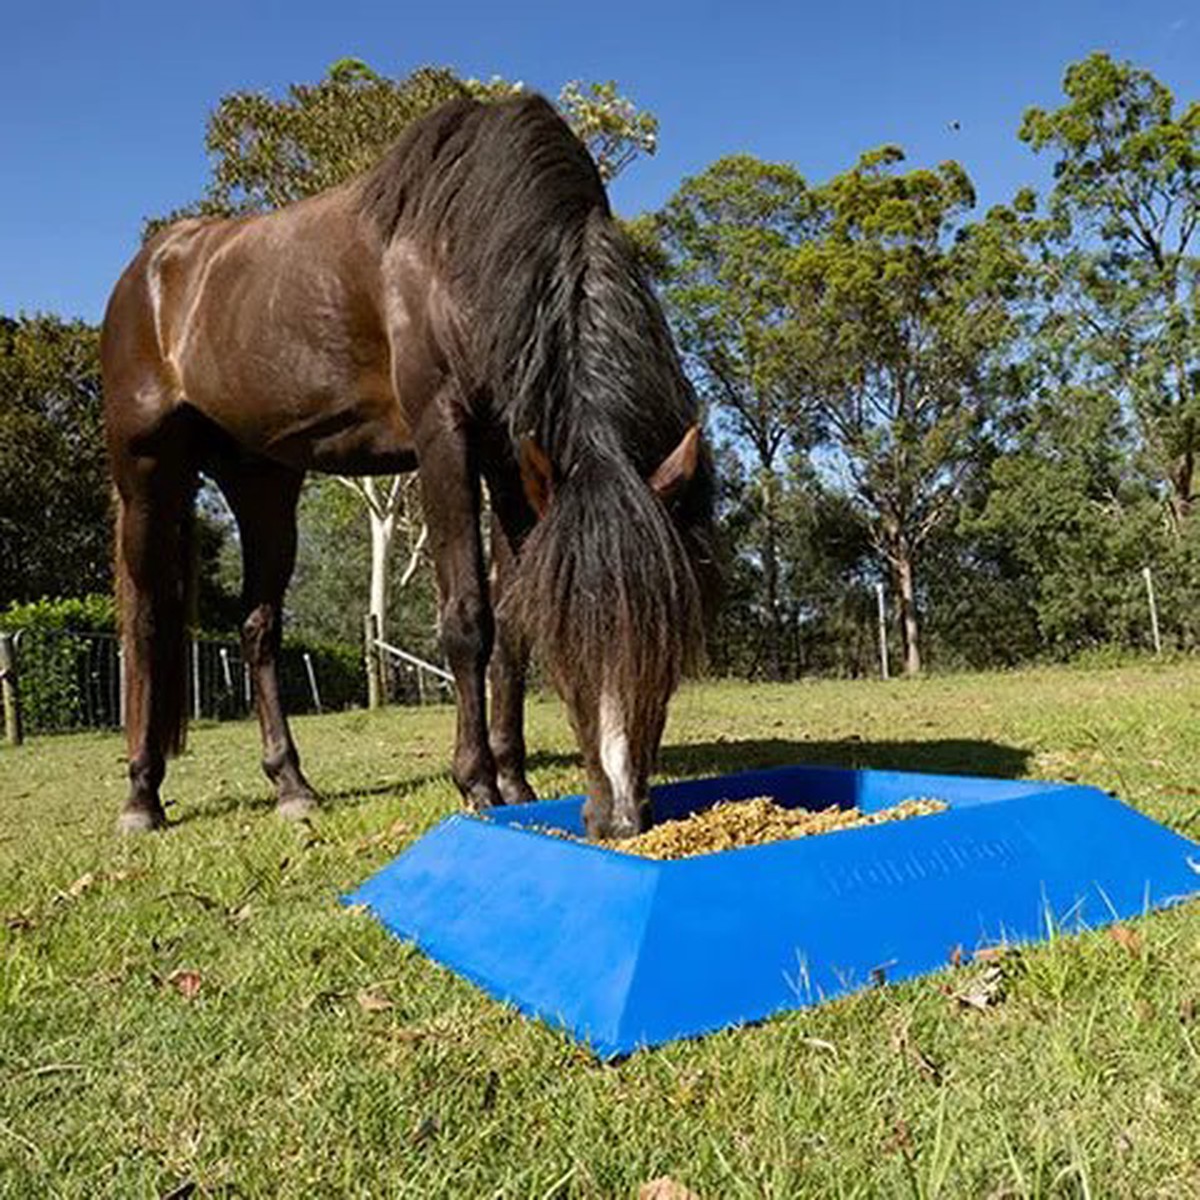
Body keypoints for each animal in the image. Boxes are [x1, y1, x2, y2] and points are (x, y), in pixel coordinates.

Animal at [101, 93, 716, 840]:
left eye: (664, 637)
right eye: (572, 638)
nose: (621, 817)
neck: (470, 243)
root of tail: (150, 269)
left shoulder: (511, 456)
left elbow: (510, 624)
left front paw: (516, 780)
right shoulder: (443, 436)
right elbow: (468, 619)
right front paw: (477, 783)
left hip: (264, 486)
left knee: (259, 629)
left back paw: (292, 786)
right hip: (145, 476)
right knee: (144, 624)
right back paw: (142, 796)